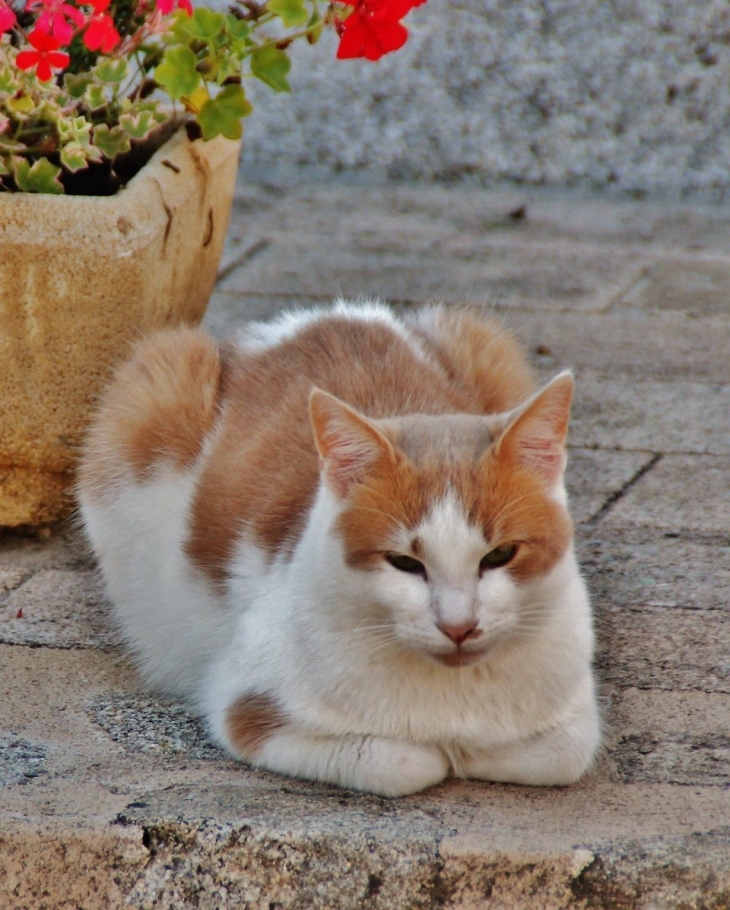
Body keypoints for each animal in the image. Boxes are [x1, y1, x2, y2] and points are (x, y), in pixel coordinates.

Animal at [79, 302, 600, 800]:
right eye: (404, 562)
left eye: (499, 555)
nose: (459, 627)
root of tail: (312, 319)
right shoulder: (249, 706)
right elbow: (405, 761)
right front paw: (449, 752)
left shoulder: (576, 703)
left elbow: (560, 752)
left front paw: (471, 748)